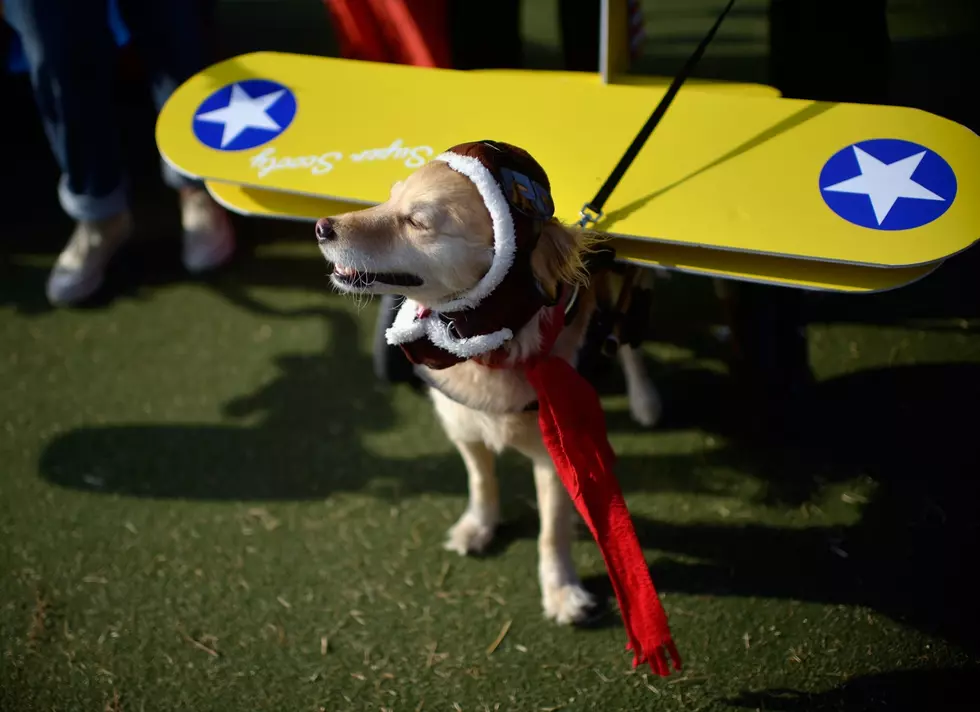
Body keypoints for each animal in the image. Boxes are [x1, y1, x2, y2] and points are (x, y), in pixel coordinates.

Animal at [318, 156, 664, 624]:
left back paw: (645, 400)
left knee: (628, 341)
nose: (321, 227)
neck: (489, 350)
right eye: (388, 198)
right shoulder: (463, 426)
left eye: (417, 221)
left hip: (625, 291)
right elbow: (481, 481)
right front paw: (479, 527)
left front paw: (561, 591)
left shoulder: (553, 456)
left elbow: (551, 532)